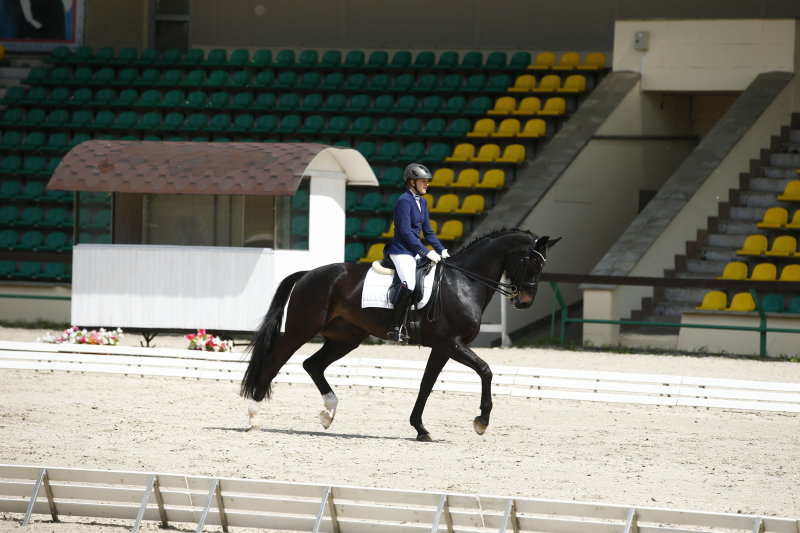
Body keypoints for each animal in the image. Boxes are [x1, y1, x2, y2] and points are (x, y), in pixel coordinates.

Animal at [241, 229, 560, 440]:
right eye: (531, 262)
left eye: (544, 264)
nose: (524, 303)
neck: (464, 282)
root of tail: (308, 273)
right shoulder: (450, 343)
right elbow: (486, 370)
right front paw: (481, 420)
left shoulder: (442, 347)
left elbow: (426, 385)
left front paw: (420, 428)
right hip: (301, 329)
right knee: (275, 361)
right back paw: (254, 416)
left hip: (345, 338)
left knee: (313, 365)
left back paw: (328, 414)